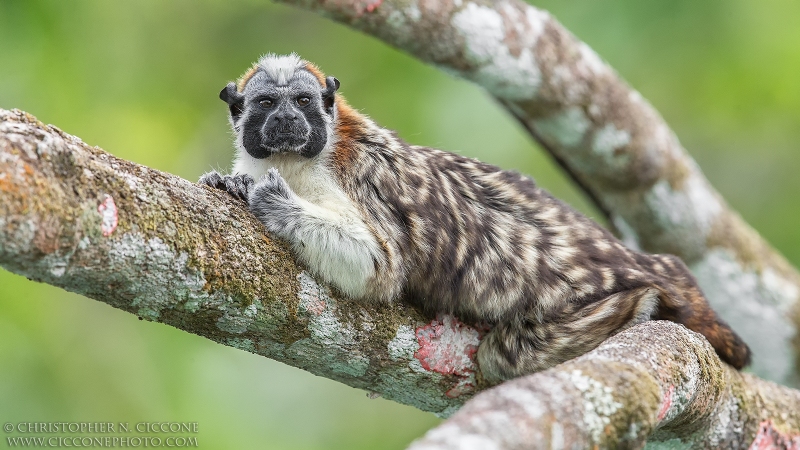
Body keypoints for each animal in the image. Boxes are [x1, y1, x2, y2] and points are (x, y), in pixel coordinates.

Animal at [198, 53, 752, 384]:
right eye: (266, 103)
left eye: (302, 102)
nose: (287, 120)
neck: (300, 158)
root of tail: (643, 263)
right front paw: (233, 184)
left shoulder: (355, 177)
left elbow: (380, 266)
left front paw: (272, 199)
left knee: (506, 358)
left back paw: (640, 307)